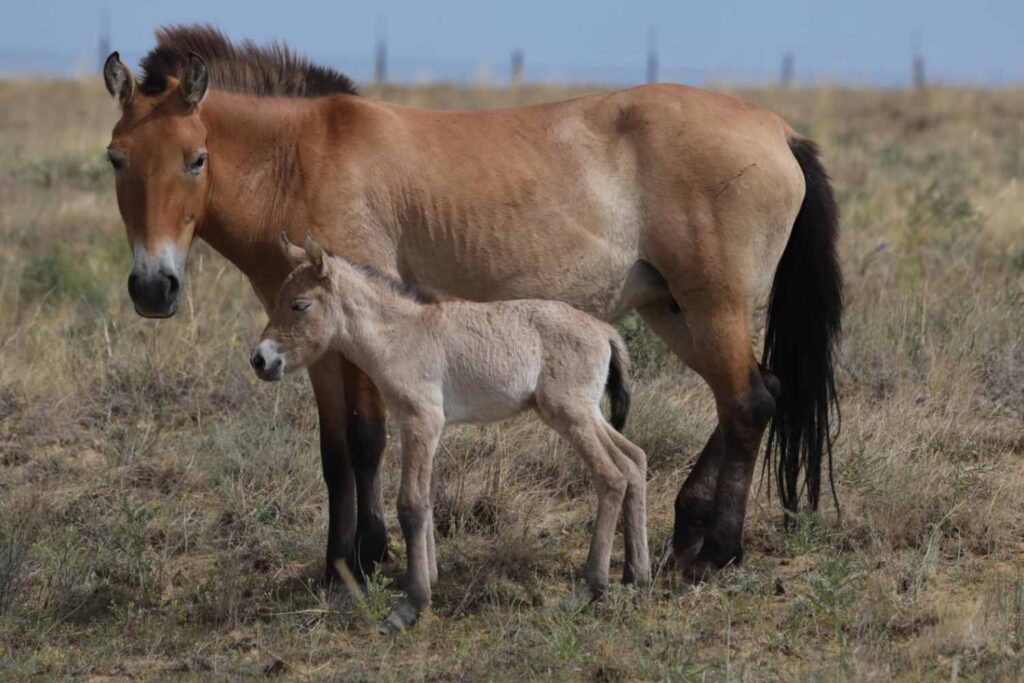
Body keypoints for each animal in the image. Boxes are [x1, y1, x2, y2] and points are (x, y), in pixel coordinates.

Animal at [102, 25, 841, 585]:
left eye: (196, 158)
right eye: (115, 158)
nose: (153, 287)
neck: (300, 161)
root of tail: (780, 133)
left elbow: (366, 440)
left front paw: (369, 558)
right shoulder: (316, 348)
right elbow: (334, 452)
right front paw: (335, 563)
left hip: (711, 305)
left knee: (749, 403)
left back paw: (715, 551)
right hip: (674, 310)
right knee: (757, 393)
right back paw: (687, 529)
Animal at [251, 235, 649, 631]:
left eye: (300, 304)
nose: (260, 360)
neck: (399, 336)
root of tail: (604, 331)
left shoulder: (421, 420)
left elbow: (410, 504)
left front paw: (410, 606)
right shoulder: (422, 426)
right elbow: (426, 499)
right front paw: (429, 581)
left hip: (570, 414)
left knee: (611, 476)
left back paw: (591, 586)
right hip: (587, 413)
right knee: (634, 460)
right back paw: (636, 573)